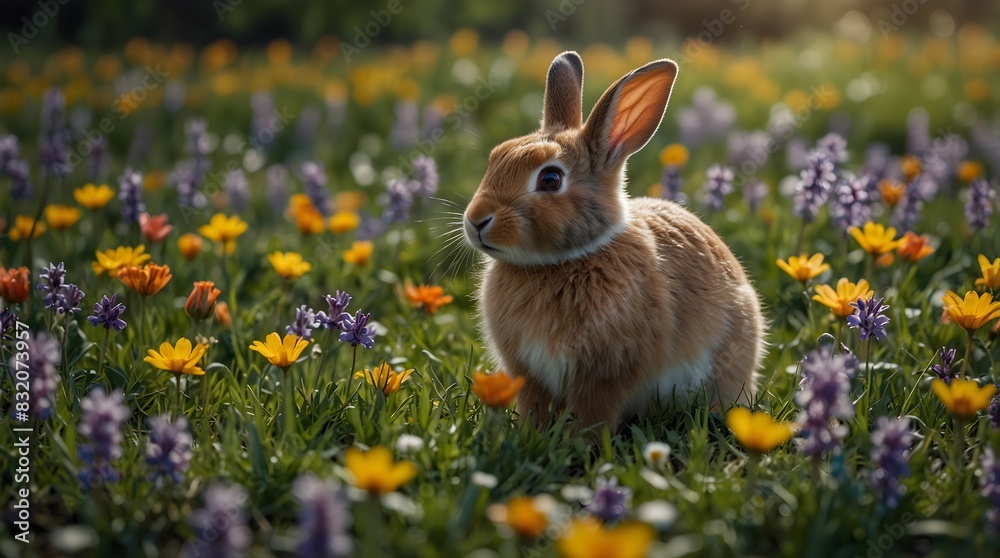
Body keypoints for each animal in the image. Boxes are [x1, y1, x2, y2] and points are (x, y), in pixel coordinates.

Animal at [463, 51, 766, 433]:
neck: (562, 261)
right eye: (495, 157)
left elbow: (595, 413)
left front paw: (582, 441)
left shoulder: (607, 373)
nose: (476, 220)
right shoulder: (528, 373)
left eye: (550, 179)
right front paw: (534, 433)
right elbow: (535, 405)